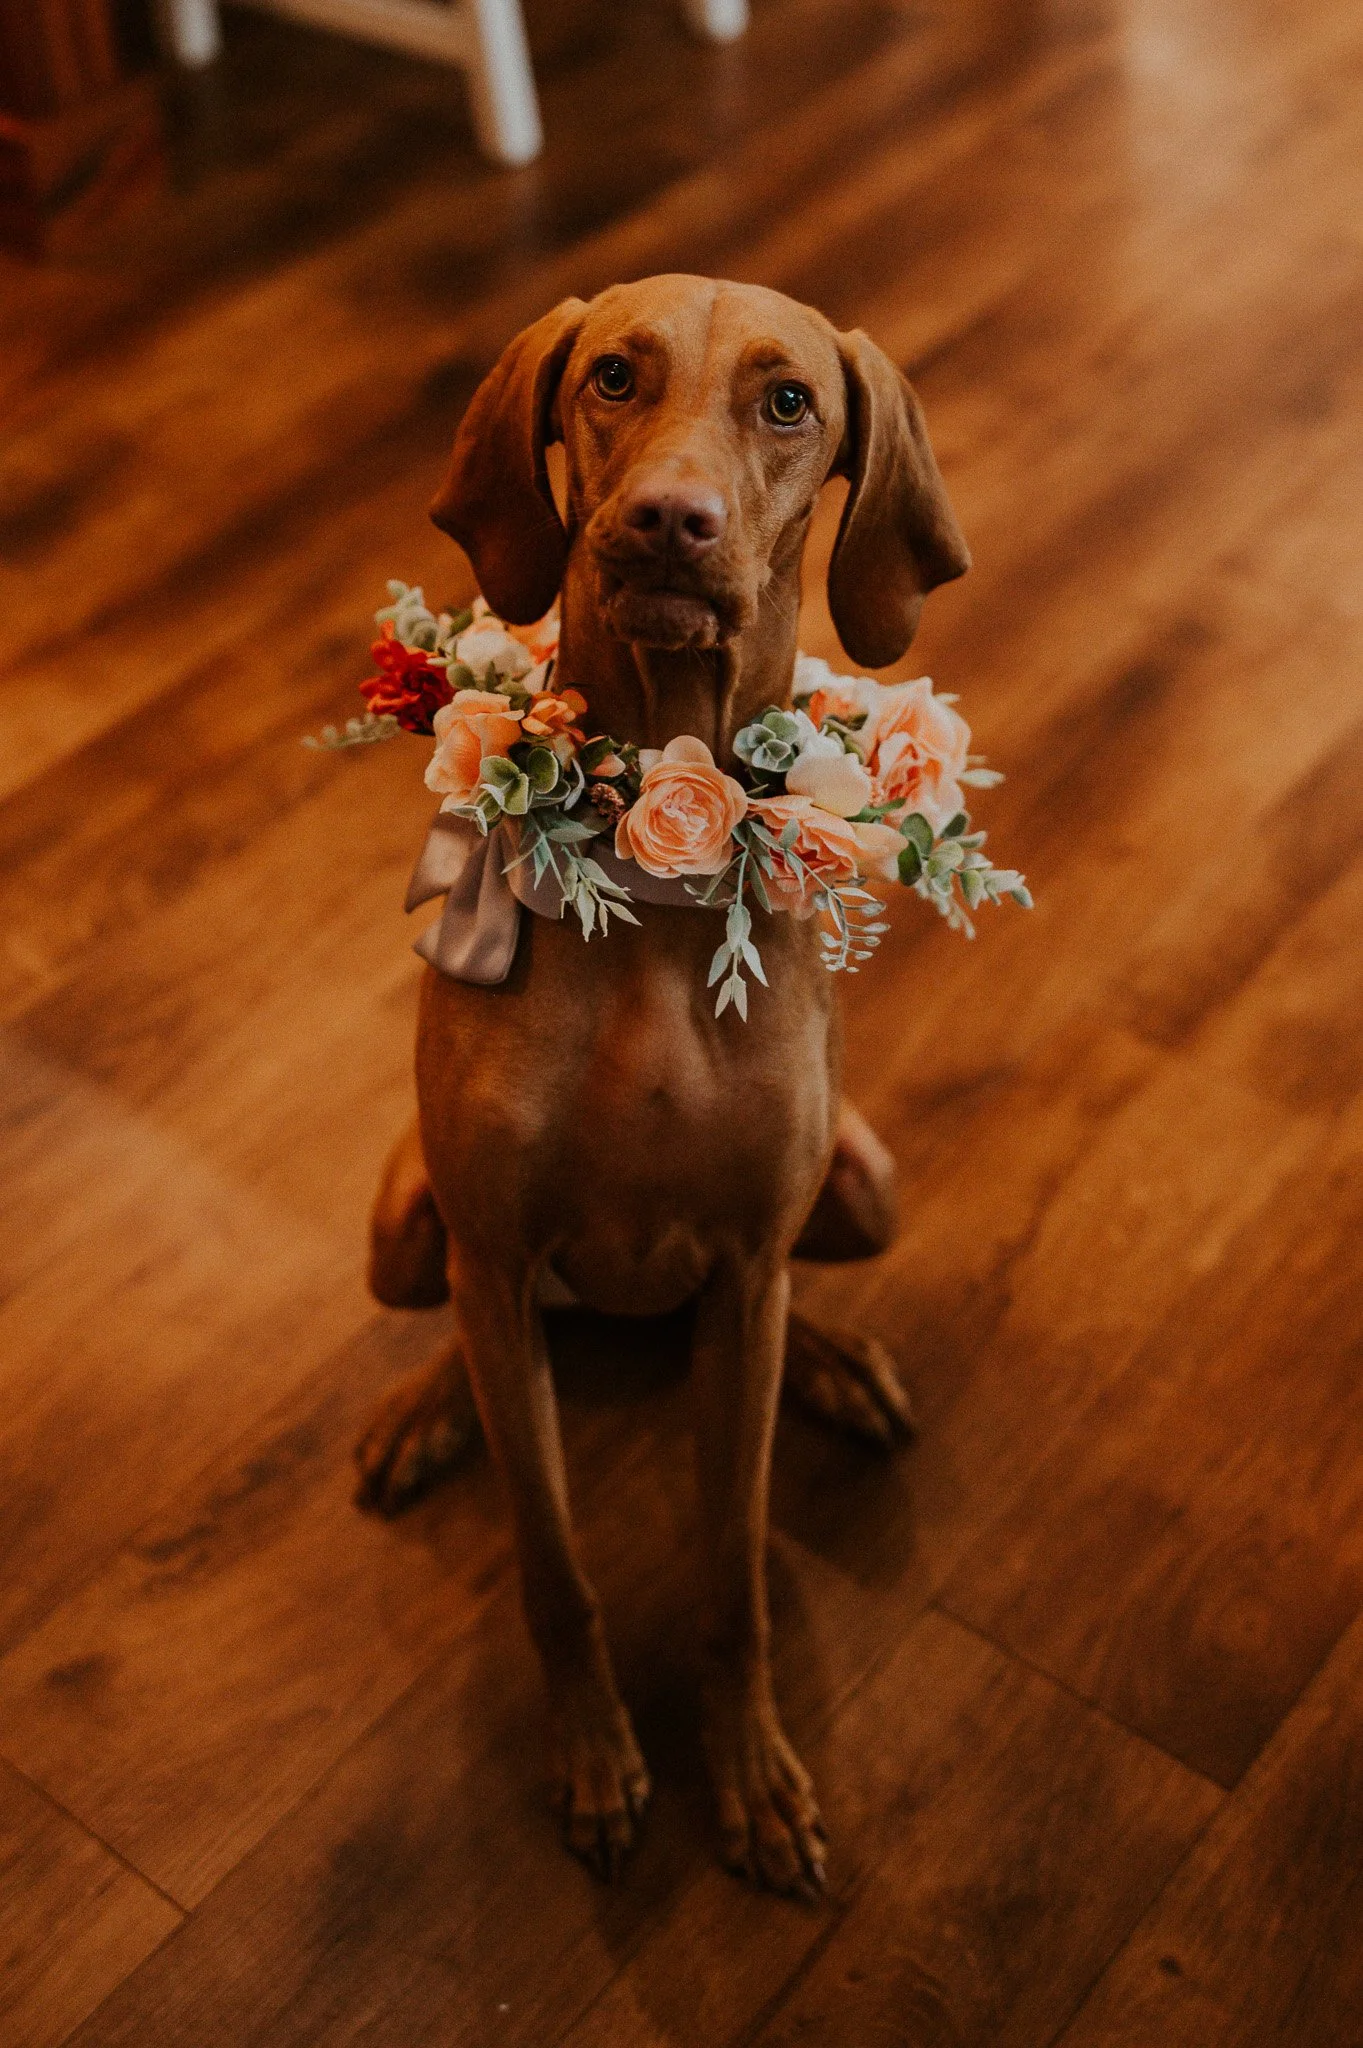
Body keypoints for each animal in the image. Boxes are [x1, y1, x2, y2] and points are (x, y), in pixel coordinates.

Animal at [352, 280, 965, 1892]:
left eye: (788, 401)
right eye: (613, 377)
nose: (667, 524)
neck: (649, 858)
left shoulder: (748, 1258)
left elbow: (734, 1569)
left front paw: (747, 1772)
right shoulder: (498, 1249)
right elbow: (554, 1565)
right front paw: (592, 1758)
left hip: (862, 1189)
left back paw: (835, 1363)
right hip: (410, 1224)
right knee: (463, 1331)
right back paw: (426, 1410)